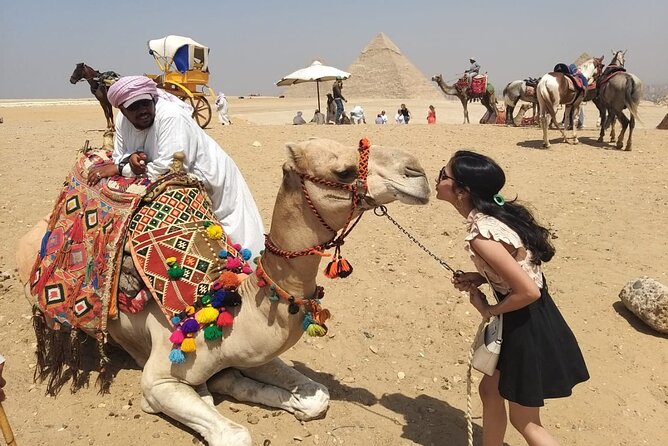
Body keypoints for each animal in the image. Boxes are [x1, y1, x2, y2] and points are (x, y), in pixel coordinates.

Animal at [16, 138, 430, 446]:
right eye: (343, 170)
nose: (417, 173)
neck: (221, 303)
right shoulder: (158, 376)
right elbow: (232, 431)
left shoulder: (252, 351)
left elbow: (315, 396)